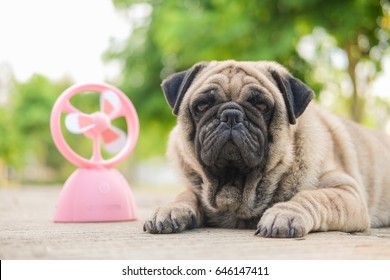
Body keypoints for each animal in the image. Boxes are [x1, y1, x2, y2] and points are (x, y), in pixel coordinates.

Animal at [143, 60, 390, 237]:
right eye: (202, 106)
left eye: (262, 106)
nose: (231, 115)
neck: (236, 186)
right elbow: (185, 195)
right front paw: (170, 209)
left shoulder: (346, 191)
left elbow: (310, 197)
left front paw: (284, 213)